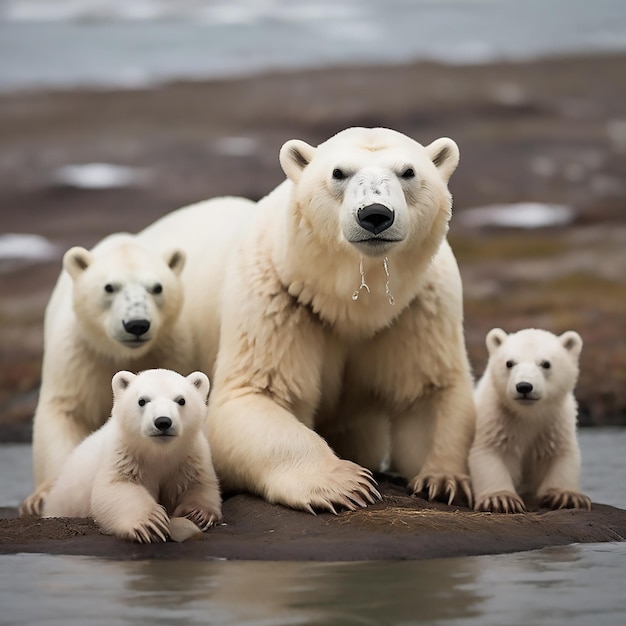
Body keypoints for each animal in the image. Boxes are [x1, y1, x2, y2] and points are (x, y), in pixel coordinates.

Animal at [20, 232, 189, 516]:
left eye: (157, 287)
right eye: (109, 287)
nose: (137, 325)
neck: (119, 352)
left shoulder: (167, 351)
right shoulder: (78, 352)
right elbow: (66, 410)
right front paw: (41, 498)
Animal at [44, 368, 219, 540]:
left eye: (181, 400)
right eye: (142, 400)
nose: (163, 421)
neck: (158, 452)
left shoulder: (189, 456)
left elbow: (199, 483)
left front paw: (197, 514)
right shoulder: (124, 454)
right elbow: (117, 486)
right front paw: (151, 523)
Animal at [140, 127, 472, 512]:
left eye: (408, 172)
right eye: (339, 172)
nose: (375, 214)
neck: (349, 304)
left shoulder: (418, 307)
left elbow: (428, 392)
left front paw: (445, 481)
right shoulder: (278, 299)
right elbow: (252, 397)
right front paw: (346, 484)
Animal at [468, 326, 588, 512]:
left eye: (546, 363)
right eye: (509, 363)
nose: (524, 386)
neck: (528, 414)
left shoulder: (555, 422)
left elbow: (561, 454)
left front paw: (566, 496)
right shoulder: (496, 419)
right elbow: (489, 452)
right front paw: (501, 499)